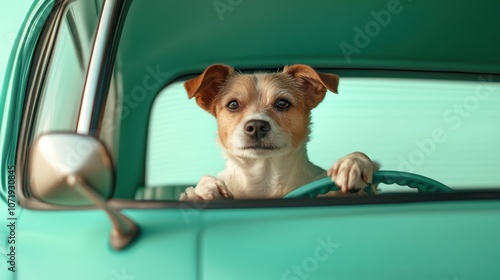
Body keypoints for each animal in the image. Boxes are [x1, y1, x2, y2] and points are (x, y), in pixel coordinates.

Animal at [180, 64, 378, 199]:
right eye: (233, 104)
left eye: (282, 103)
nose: (256, 126)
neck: (264, 178)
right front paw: (205, 187)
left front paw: (353, 163)